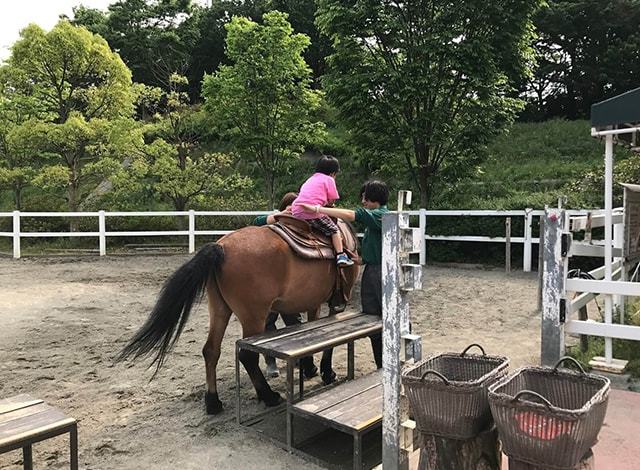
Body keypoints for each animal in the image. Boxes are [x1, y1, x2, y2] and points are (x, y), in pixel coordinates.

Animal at [117, 222, 358, 414]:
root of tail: (222, 247)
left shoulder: (313, 303)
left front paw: (310, 368)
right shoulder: (335, 304)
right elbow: (329, 343)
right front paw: (327, 372)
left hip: (219, 309)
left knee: (210, 351)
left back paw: (213, 402)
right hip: (253, 317)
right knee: (247, 356)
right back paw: (268, 396)